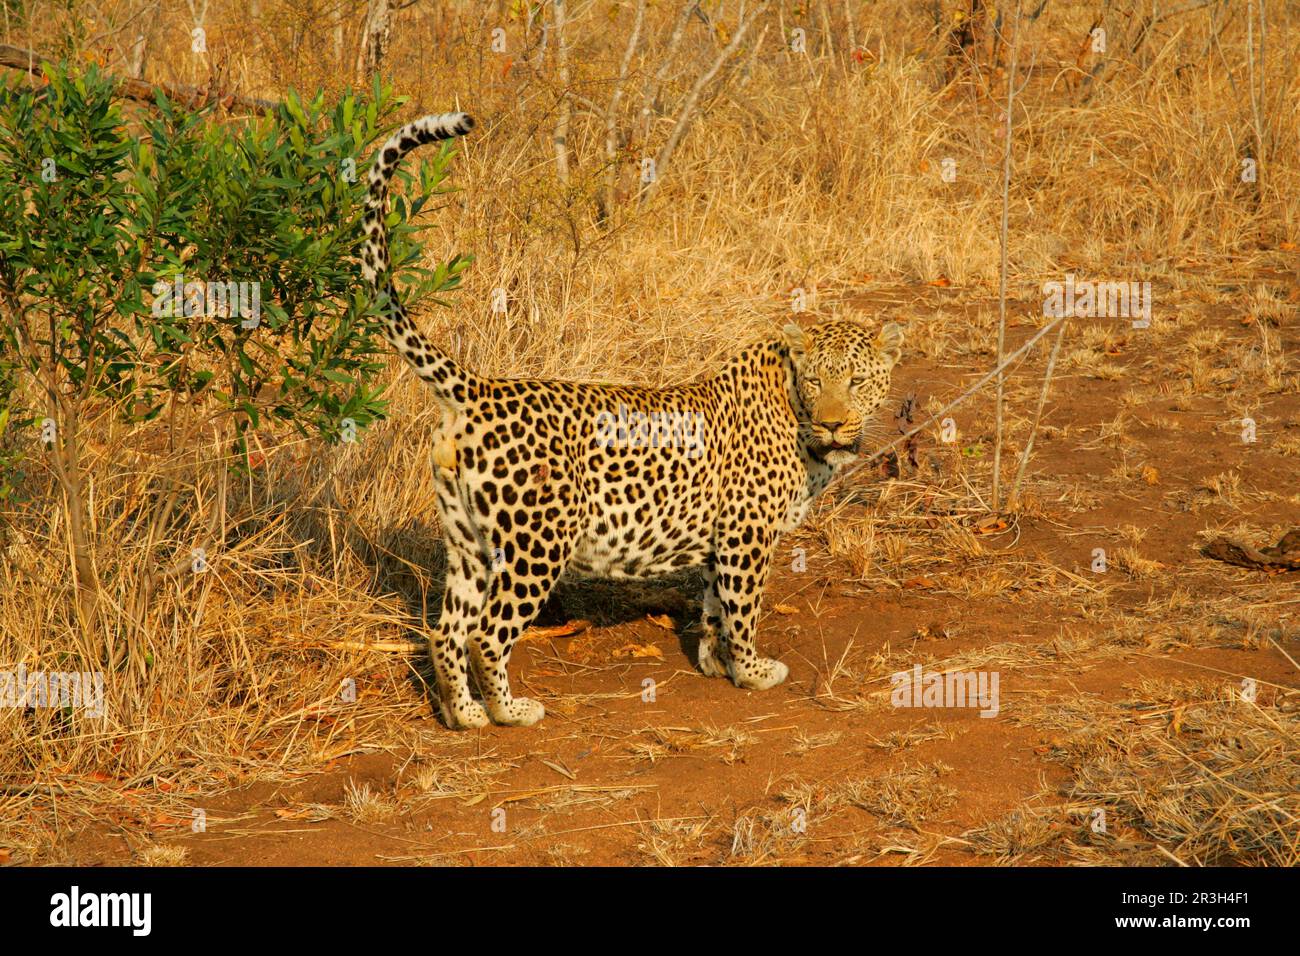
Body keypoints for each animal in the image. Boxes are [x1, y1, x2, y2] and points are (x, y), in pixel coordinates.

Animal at [358, 111, 904, 728]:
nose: (835, 424)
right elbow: (743, 609)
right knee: (488, 634)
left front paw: (714, 663)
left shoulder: (721, 538)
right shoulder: (746, 533)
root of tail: (481, 389)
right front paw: (752, 671)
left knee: (447, 629)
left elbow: (714, 605)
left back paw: (463, 714)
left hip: (470, 540)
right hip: (536, 543)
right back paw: (509, 710)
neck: (795, 413)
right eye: (816, 382)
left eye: (856, 381)